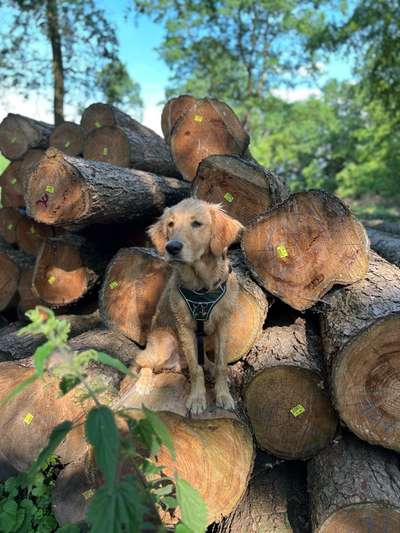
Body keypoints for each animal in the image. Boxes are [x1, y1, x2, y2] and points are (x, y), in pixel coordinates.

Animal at [133, 197, 242, 414]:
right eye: (170, 224)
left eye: (197, 224)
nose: (172, 247)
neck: (202, 287)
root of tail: (175, 363)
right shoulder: (184, 326)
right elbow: (195, 368)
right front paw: (198, 399)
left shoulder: (223, 324)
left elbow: (221, 364)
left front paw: (223, 395)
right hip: (164, 343)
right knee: (143, 361)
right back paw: (143, 383)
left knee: (205, 361)